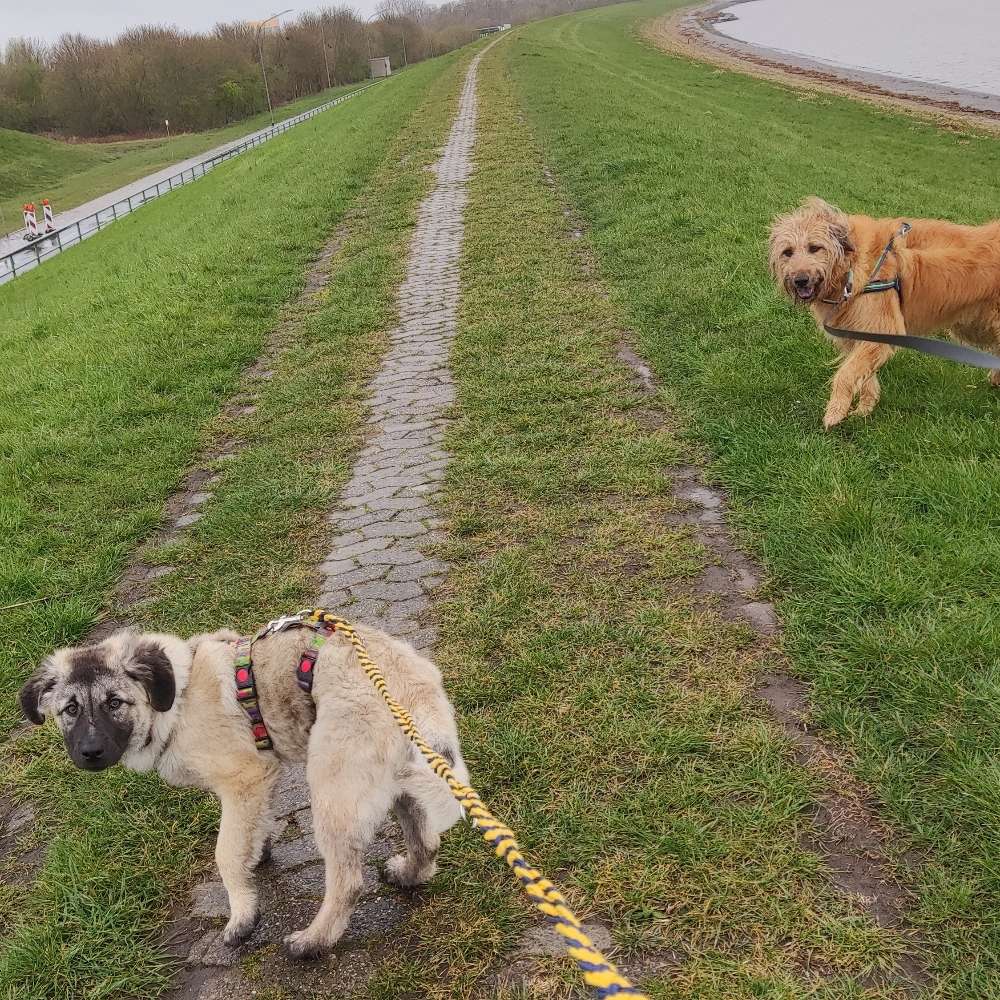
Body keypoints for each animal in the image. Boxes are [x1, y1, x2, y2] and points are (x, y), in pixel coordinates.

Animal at [20, 620, 468, 956]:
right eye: (70, 710)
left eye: (115, 703)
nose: (90, 752)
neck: (177, 701)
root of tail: (414, 693)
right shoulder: (259, 784)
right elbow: (252, 833)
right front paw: (261, 850)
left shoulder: (243, 780)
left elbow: (226, 854)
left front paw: (242, 916)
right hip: (401, 783)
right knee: (426, 840)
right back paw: (410, 873)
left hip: (333, 793)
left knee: (348, 882)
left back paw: (313, 941)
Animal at [768, 197, 1000, 428]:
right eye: (787, 252)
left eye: (815, 247)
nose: (800, 280)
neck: (853, 266)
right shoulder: (860, 334)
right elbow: (863, 375)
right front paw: (864, 408)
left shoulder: (882, 327)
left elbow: (845, 374)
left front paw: (835, 412)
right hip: (973, 327)